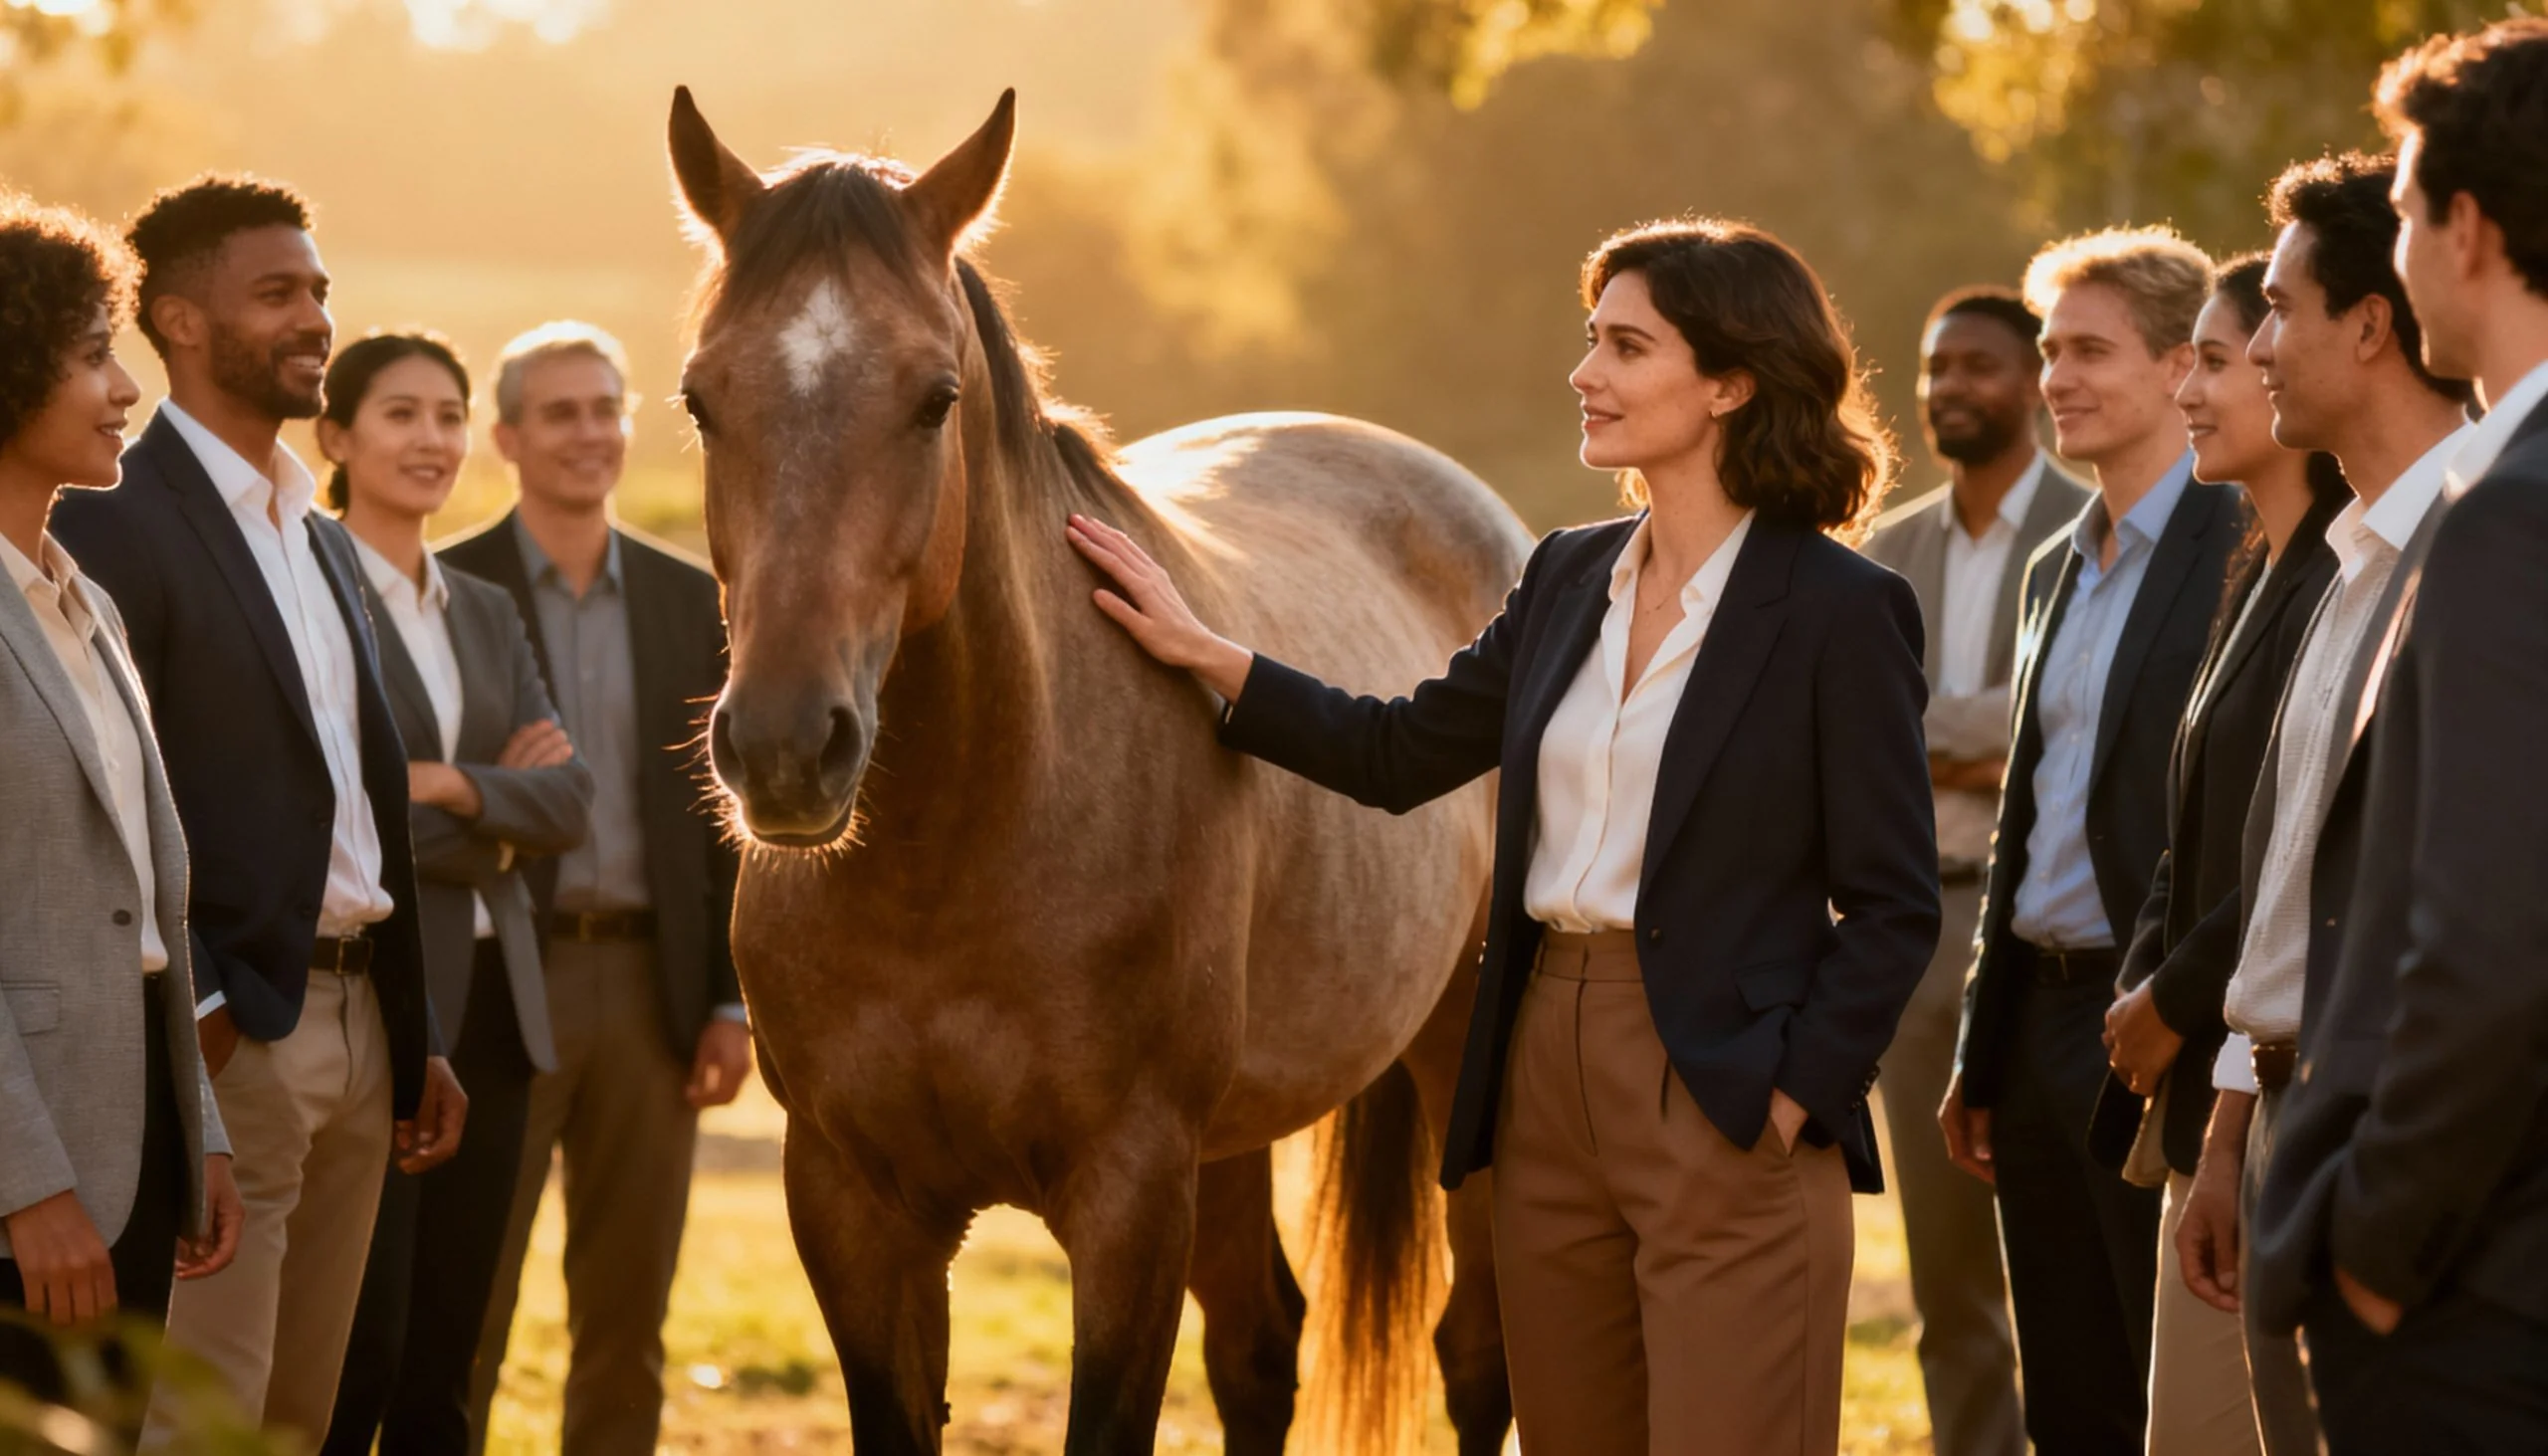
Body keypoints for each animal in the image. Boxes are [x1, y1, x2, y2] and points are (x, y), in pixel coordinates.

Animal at [668, 86, 1527, 1455]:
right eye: (703, 399)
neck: (961, 847)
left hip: (1456, 1081)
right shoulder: (854, 1205)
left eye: (934, 397)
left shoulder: (1128, 1202)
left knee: (1474, 1355)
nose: (788, 748)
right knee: (1260, 1348)